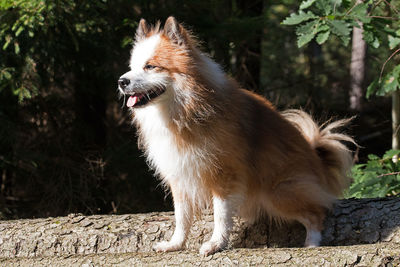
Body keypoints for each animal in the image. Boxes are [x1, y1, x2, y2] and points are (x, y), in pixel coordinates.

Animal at [117, 16, 354, 258]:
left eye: (150, 66)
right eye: (132, 67)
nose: (121, 81)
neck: (184, 111)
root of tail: (318, 161)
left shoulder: (224, 175)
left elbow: (221, 214)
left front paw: (216, 244)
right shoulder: (180, 175)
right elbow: (182, 217)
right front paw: (176, 244)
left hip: (279, 191)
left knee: (317, 213)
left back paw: (312, 244)